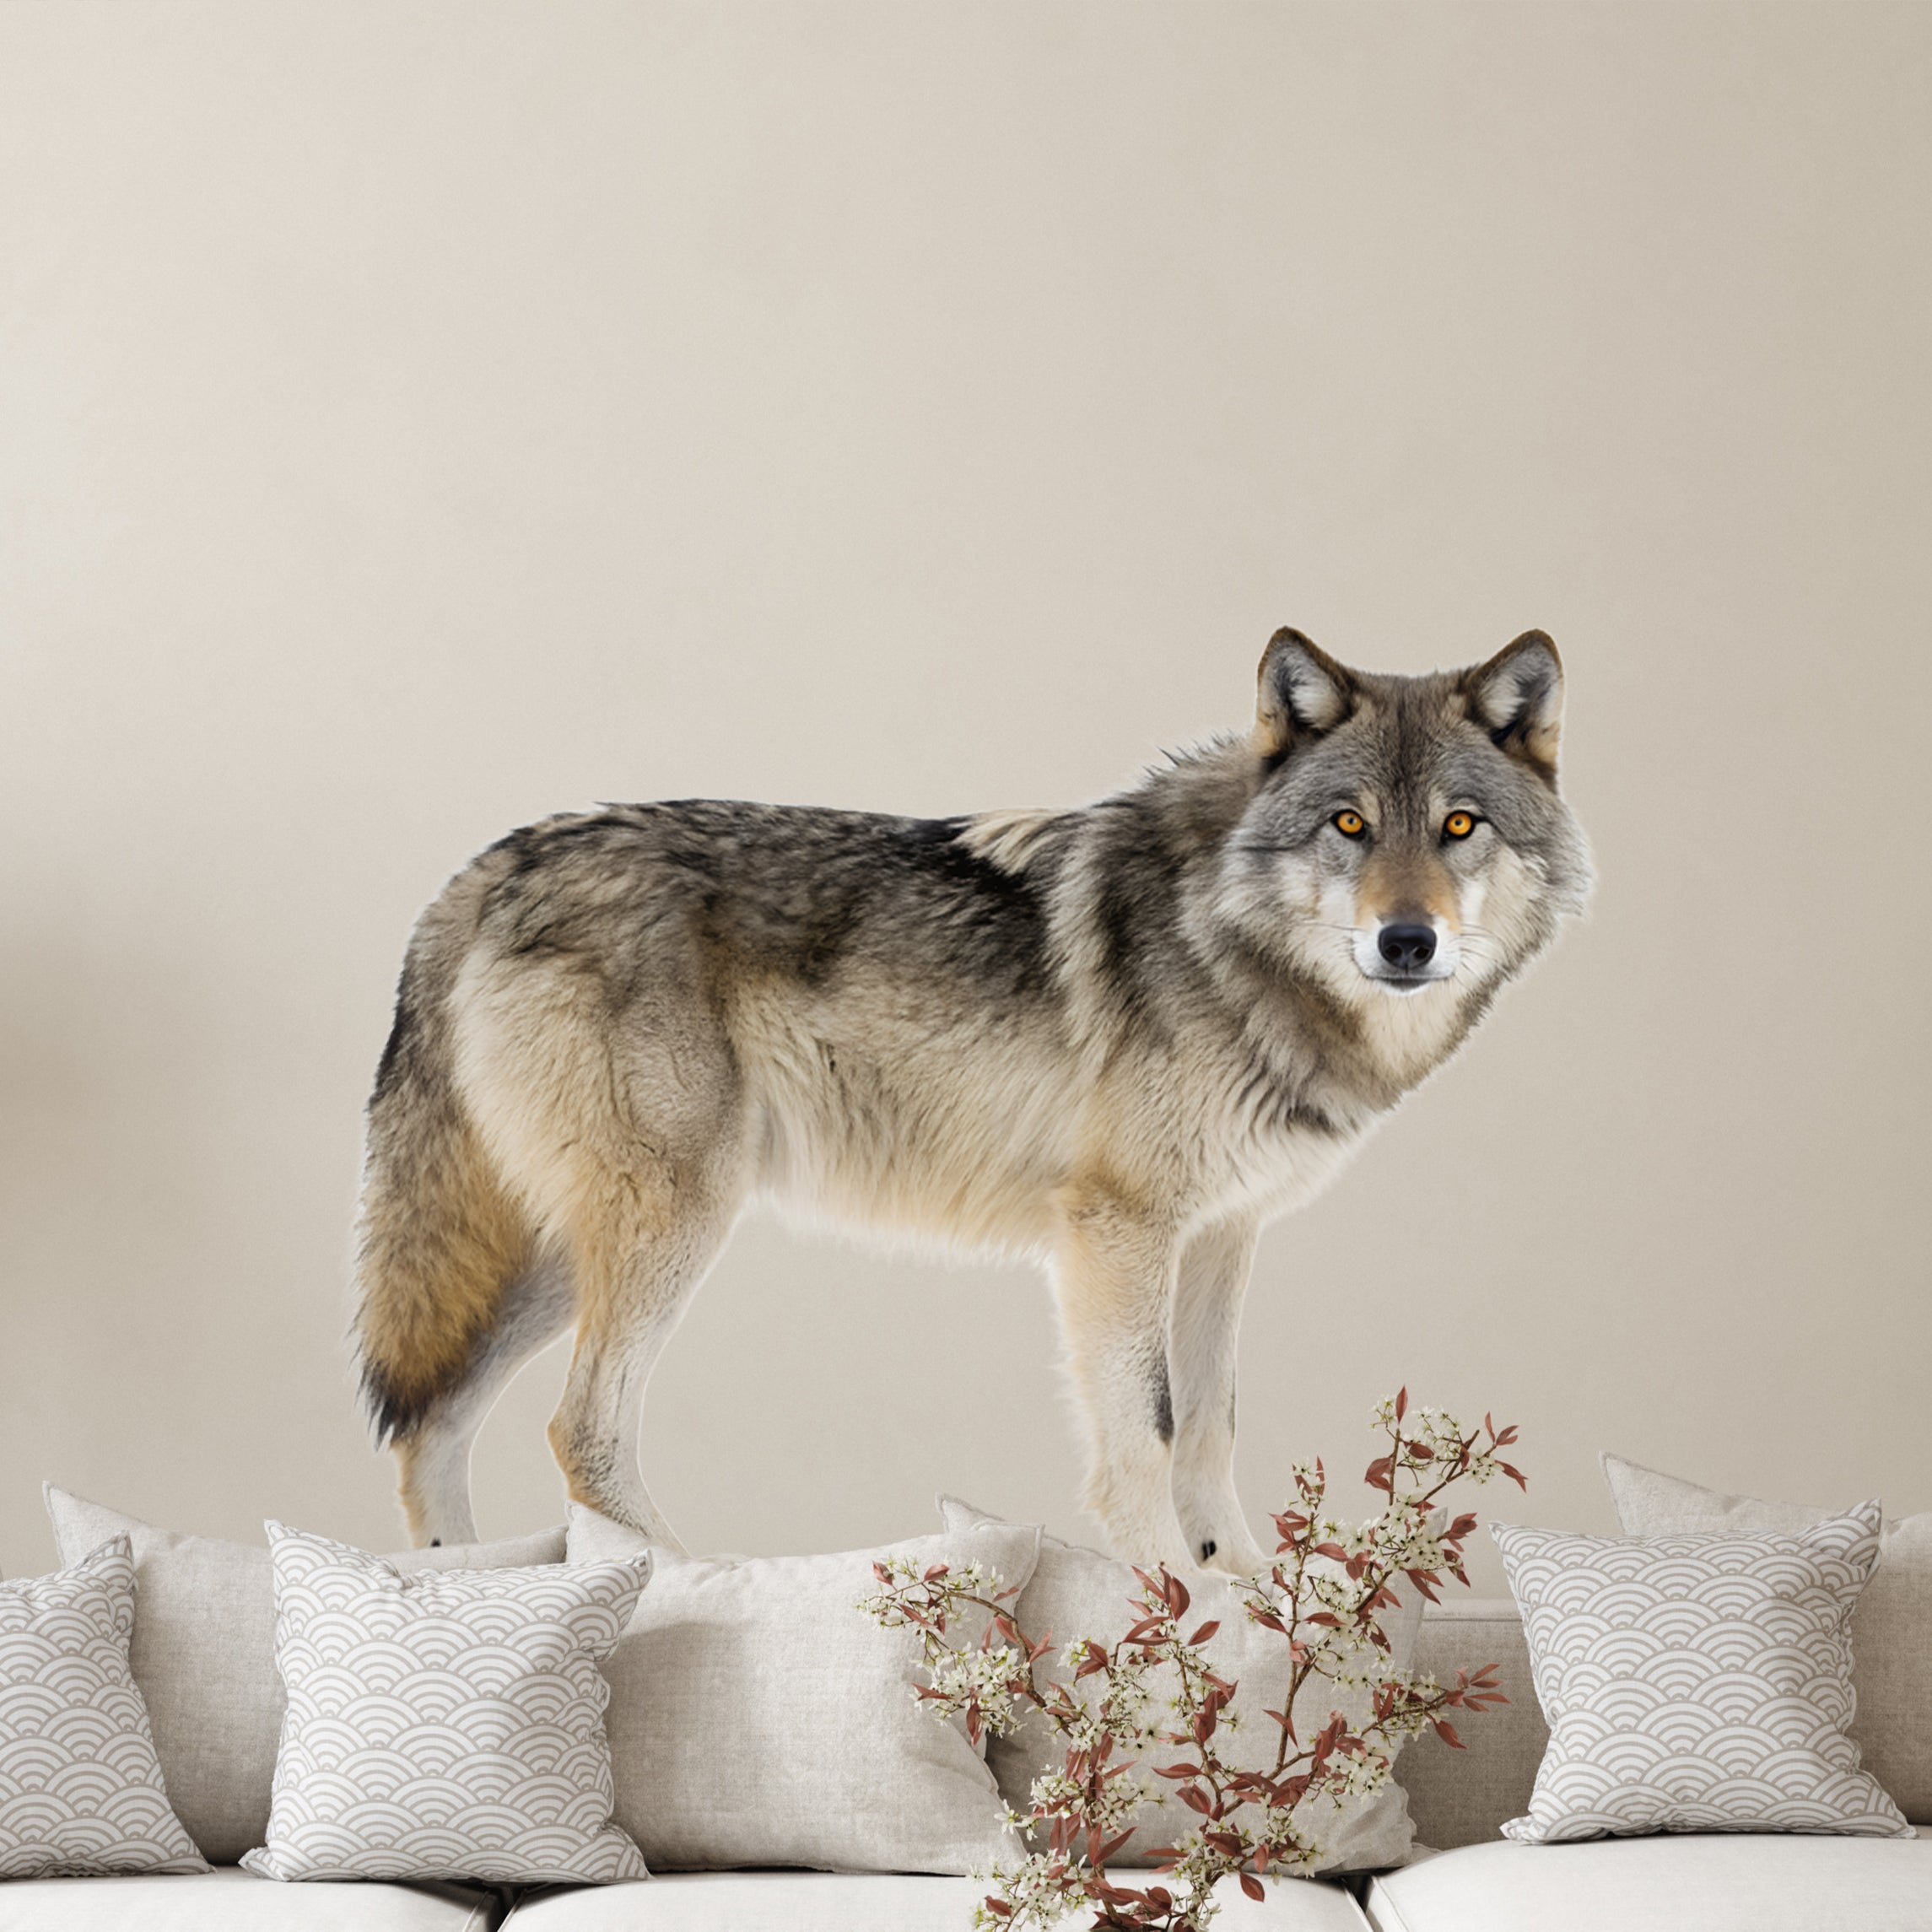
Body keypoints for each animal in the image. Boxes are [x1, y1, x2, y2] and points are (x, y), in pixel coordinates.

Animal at [354, 629, 1591, 1572]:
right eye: (1348, 824)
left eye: (1458, 826)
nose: (1406, 940)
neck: (1228, 938)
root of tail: (482, 869)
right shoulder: (1116, 1231)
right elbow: (1145, 1434)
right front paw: (1175, 1608)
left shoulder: (1220, 1235)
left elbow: (1210, 1427)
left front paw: (1251, 1600)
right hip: (668, 1225)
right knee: (579, 1430)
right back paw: (704, 1588)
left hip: (561, 1254)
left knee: (432, 1427)